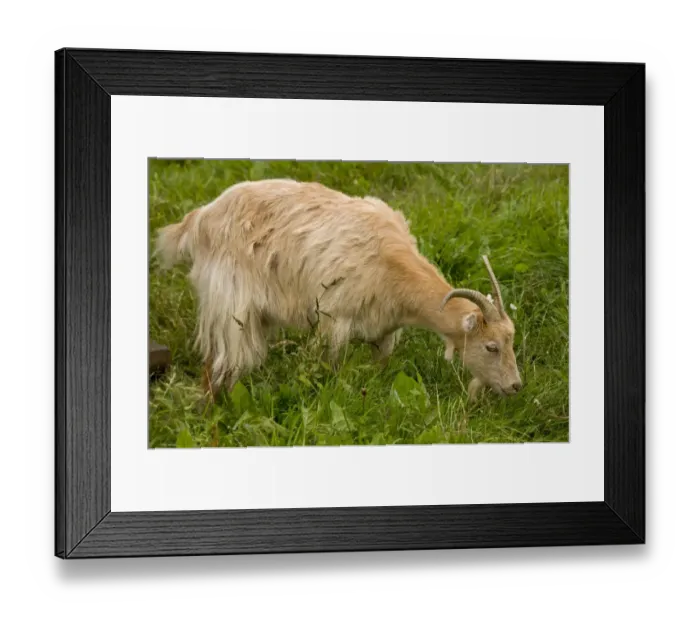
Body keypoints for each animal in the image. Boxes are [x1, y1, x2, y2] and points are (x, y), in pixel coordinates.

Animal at [154, 179, 522, 402]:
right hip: (230, 306)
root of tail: (199, 218)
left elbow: (381, 366)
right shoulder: (334, 321)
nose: (516, 386)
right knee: (217, 364)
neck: (391, 264)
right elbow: (329, 370)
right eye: (490, 346)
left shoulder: (385, 331)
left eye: (511, 340)